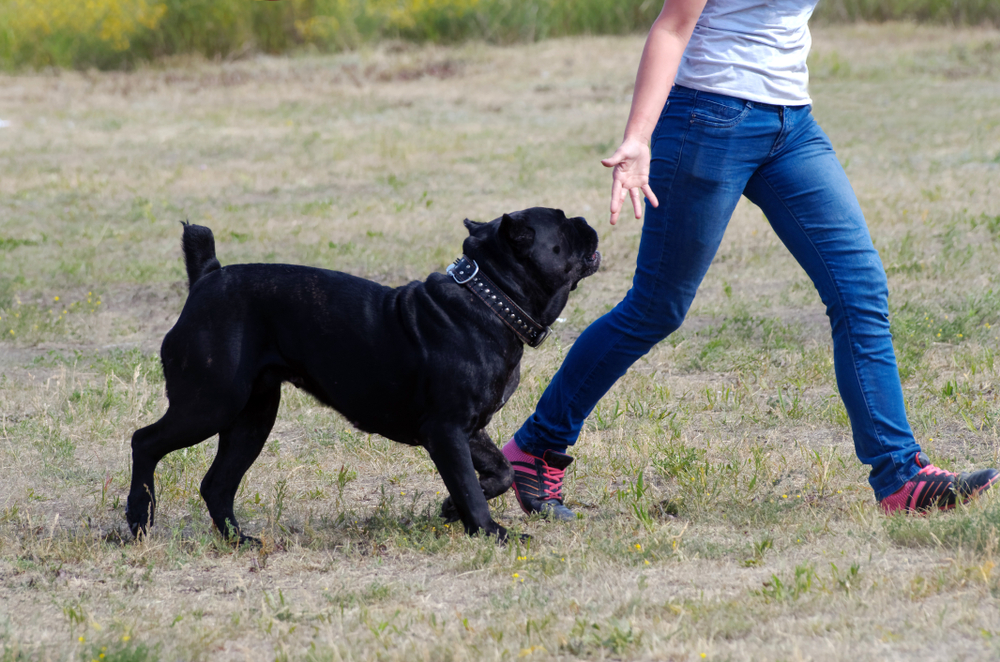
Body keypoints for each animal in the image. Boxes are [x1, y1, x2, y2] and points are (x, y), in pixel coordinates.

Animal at [123, 210, 592, 548]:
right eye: (563, 224)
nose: (587, 222)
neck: (490, 298)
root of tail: (206, 277)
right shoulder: (446, 431)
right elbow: (469, 487)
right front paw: (492, 533)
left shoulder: (471, 429)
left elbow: (500, 473)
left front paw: (448, 509)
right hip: (210, 403)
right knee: (144, 441)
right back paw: (139, 518)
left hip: (251, 420)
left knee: (217, 484)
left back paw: (239, 540)